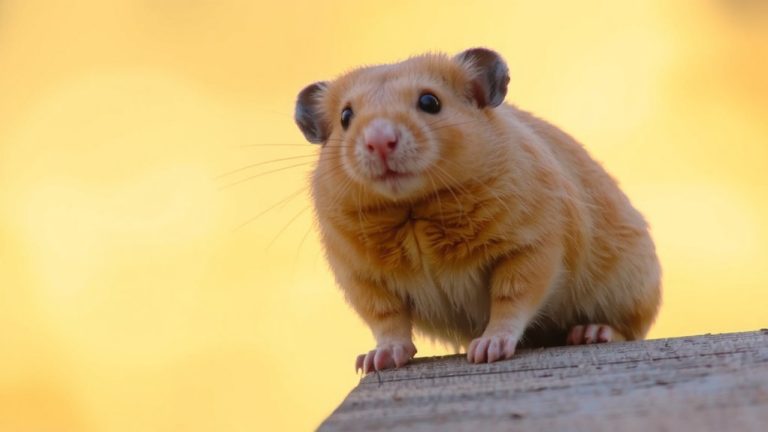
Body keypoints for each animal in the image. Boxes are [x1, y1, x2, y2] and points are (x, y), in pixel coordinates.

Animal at [294, 48, 661, 373]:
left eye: (430, 102)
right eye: (345, 117)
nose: (379, 142)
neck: (413, 209)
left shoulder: (531, 249)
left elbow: (510, 301)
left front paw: (486, 351)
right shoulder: (363, 279)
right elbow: (388, 321)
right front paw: (375, 361)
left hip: (632, 284)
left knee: (629, 330)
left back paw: (591, 332)